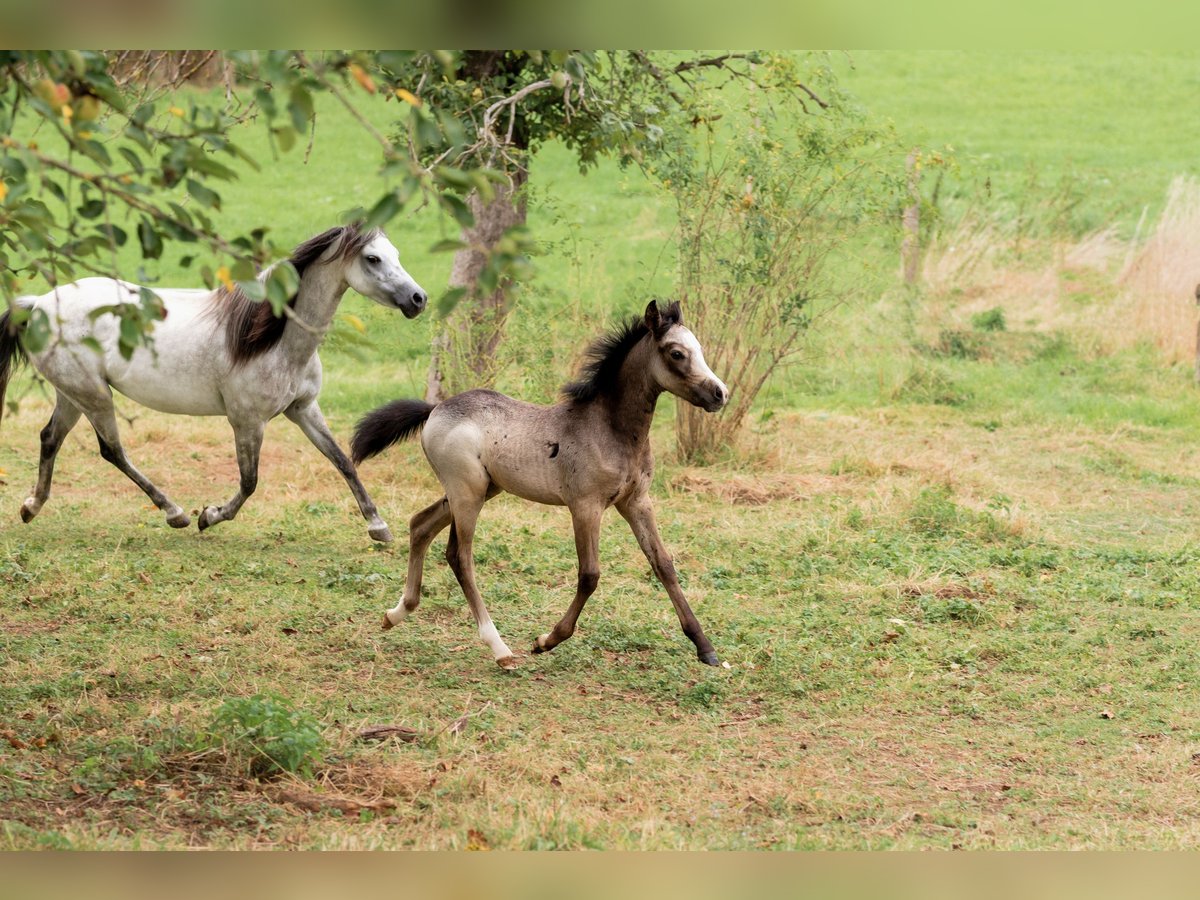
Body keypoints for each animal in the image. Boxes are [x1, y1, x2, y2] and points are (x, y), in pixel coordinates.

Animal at [1, 224, 427, 542]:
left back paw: (31, 507)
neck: (272, 338)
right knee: (112, 451)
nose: (418, 298)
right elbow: (250, 481)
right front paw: (209, 515)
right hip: (94, 396)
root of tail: (39, 304)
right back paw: (175, 513)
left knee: (50, 438)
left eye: (396, 254)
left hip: (73, 394)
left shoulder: (303, 409)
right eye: (372, 259)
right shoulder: (247, 421)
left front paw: (379, 527)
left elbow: (342, 460)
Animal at [350, 303, 729, 672]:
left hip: (480, 490)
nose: (720, 393)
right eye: (677, 353)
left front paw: (706, 648)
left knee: (421, 525)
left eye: (699, 348)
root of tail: (435, 409)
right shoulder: (585, 506)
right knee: (459, 556)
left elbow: (663, 564)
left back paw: (395, 614)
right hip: (467, 494)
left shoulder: (637, 502)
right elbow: (589, 575)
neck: (609, 430)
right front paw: (546, 641)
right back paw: (500, 649)